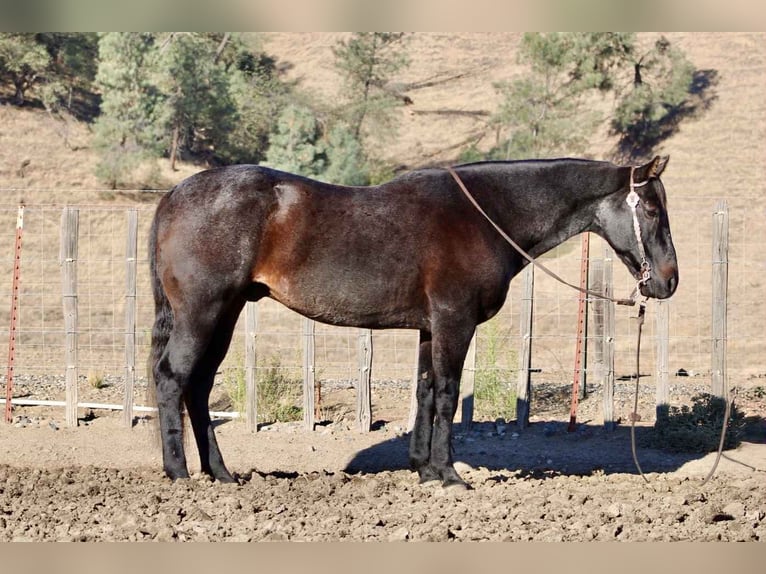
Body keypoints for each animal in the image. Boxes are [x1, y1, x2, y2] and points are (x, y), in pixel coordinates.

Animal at [148, 155, 678, 488]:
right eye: (653, 208)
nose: (669, 279)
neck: (483, 215)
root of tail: (175, 195)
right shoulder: (454, 322)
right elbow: (446, 394)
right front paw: (449, 474)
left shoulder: (429, 327)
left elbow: (424, 391)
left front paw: (424, 469)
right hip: (203, 312)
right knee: (173, 378)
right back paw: (179, 473)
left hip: (225, 314)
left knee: (198, 387)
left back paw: (221, 474)